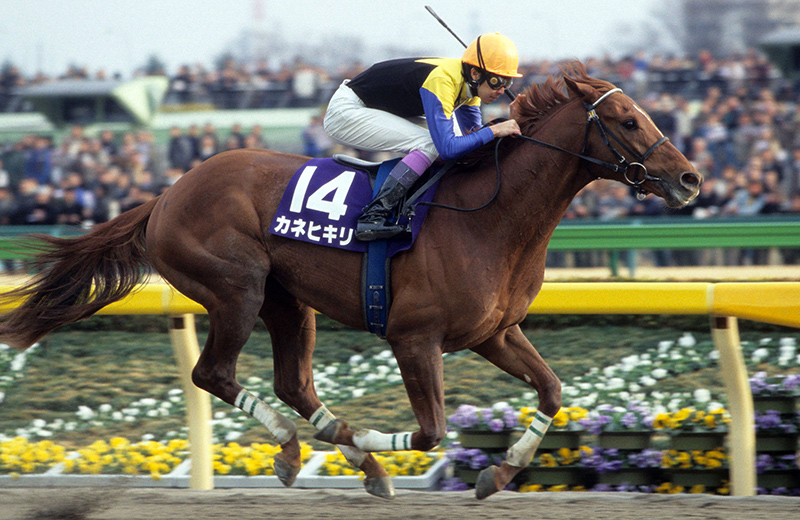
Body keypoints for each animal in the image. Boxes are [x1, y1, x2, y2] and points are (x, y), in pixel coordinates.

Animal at [0, 62, 701, 500]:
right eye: (630, 121)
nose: (690, 179)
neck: (491, 215)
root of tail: (166, 194)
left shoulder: (495, 333)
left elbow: (552, 391)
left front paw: (497, 475)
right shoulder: (414, 338)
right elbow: (432, 431)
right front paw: (371, 445)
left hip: (287, 302)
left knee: (292, 382)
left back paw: (345, 456)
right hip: (237, 287)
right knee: (213, 374)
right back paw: (302, 449)